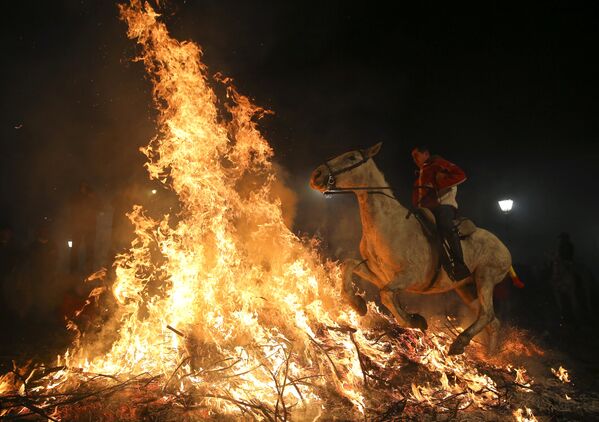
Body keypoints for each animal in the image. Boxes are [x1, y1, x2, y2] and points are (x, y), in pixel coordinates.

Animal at [310, 143, 516, 354]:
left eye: (351, 157)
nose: (317, 174)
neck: (388, 223)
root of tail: (504, 249)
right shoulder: (379, 274)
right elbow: (349, 265)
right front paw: (358, 304)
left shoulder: (411, 277)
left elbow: (386, 295)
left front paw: (415, 320)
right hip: (466, 288)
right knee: (493, 321)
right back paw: (489, 354)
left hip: (485, 278)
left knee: (487, 315)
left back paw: (460, 342)